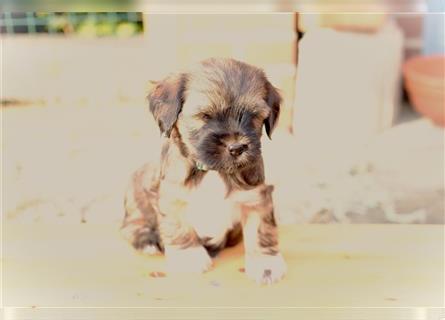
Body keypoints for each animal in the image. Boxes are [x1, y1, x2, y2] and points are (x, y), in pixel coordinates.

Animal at [121, 58, 286, 284]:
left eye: (253, 116)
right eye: (206, 116)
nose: (237, 147)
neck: (213, 170)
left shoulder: (255, 196)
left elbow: (261, 230)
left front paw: (265, 264)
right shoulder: (172, 196)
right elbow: (180, 227)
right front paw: (189, 257)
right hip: (136, 189)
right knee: (132, 223)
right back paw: (147, 240)